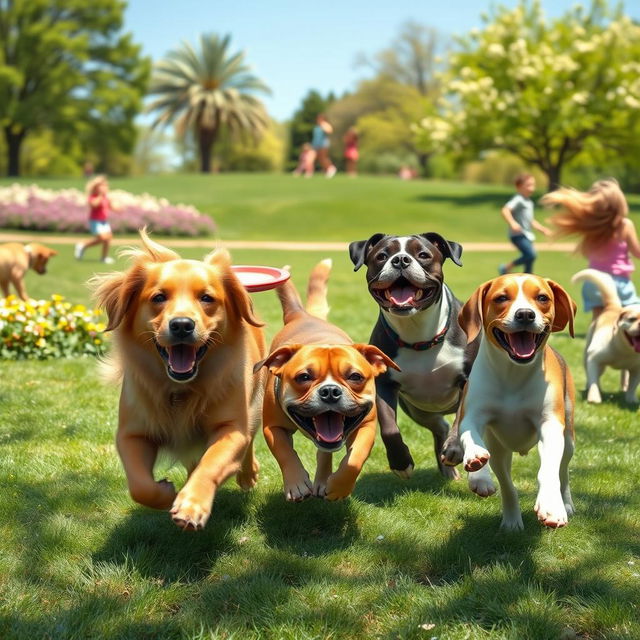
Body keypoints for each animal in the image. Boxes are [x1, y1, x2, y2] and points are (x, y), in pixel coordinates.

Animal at [91, 230, 266, 528]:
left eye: (207, 298)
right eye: (158, 297)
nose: (182, 325)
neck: (181, 389)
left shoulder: (232, 428)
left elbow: (212, 463)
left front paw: (192, 504)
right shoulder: (131, 432)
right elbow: (140, 486)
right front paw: (166, 493)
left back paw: (246, 474)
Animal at [256, 258, 398, 500]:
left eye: (355, 376)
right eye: (304, 377)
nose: (330, 391)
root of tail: (301, 314)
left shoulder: (367, 426)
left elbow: (355, 458)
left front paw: (339, 486)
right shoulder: (272, 428)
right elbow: (284, 452)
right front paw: (296, 483)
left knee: (324, 452)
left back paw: (323, 480)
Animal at [458, 276, 576, 528]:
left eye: (542, 297)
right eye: (501, 298)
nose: (525, 314)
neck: (513, 374)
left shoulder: (550, 424)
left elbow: (548, 471)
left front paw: (552, 506)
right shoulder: (473, 414)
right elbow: (469, 434)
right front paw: (476, 461)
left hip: (569, 437)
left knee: (563, 471)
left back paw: (567, 502)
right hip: (499, 448)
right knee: (505, 481)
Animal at [568, 270, 640, 404]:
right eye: (632, 319)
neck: (625, 350)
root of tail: (613, 307)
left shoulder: (637, 369)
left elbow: (633, 386)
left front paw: (631, 399)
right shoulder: (594, 358)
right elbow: (594, 381)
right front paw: (594, 398)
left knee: (624, 374)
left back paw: (624, 386)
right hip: (588, 354)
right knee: (592, 375)